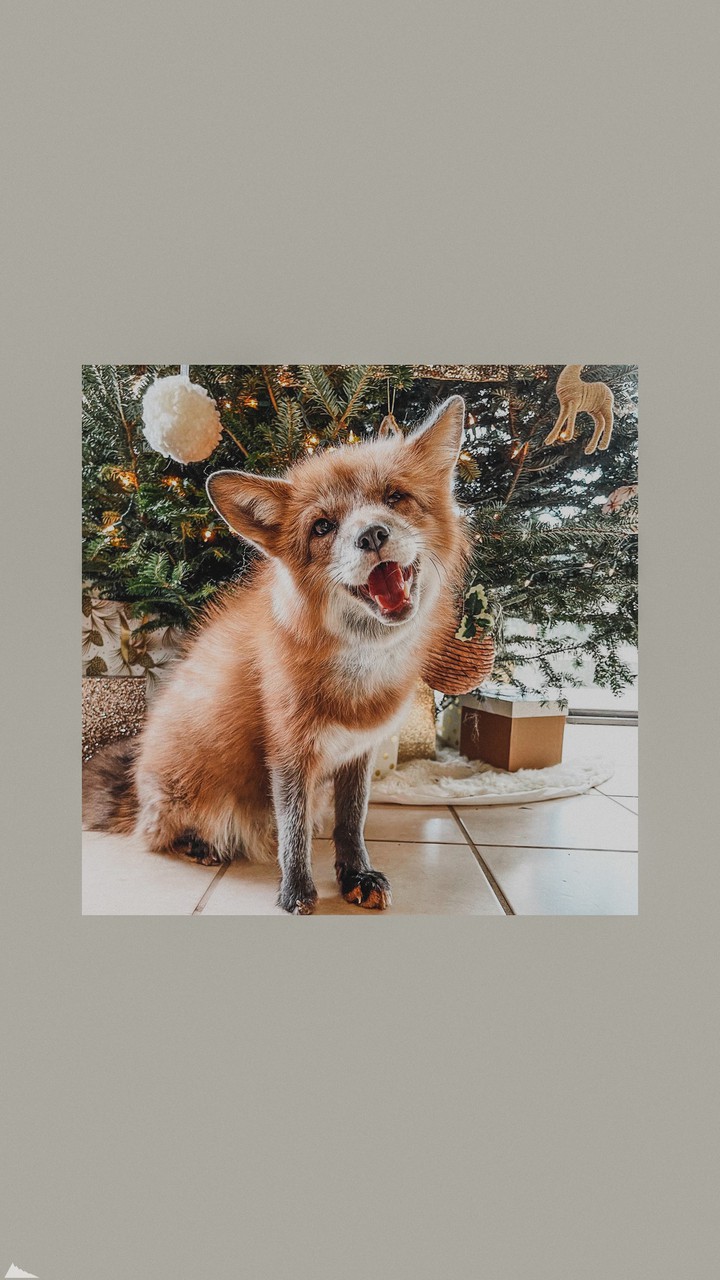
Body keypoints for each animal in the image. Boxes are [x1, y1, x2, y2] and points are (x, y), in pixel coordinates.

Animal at [83, 395, 469, 914]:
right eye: (323, 526)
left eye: (395, 497)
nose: (371, 535)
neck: (359, 678)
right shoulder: (288, 750)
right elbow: (293, 832)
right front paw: (297, 890)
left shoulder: (358, 753)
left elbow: (351, 823)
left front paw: (355, 875)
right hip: (192, 792)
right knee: (156, 835)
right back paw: (199, 844)